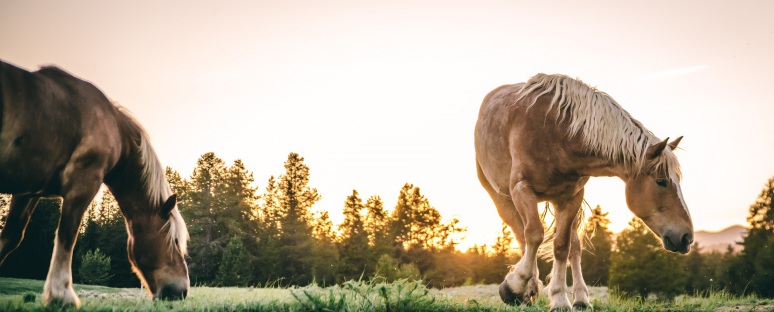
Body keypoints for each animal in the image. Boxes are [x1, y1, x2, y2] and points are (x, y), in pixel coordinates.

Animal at [0, 61, 189, 308]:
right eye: (175, 241)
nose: (183, 291)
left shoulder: (29, 189)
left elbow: (11, 237)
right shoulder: (83, 181)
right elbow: (67, 235)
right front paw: (62, 295)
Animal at [476, 73, 696, 310]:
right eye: (661, 182)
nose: (687, 237)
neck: (558, 133)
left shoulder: (571, 197)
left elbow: (562, 246)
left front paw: (559, 299)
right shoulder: (521, 189)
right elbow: (533, 235)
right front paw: (515, 286)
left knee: (573, 246)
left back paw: (580, 298)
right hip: (502, 198)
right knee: (523, 236)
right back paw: (527, 287)